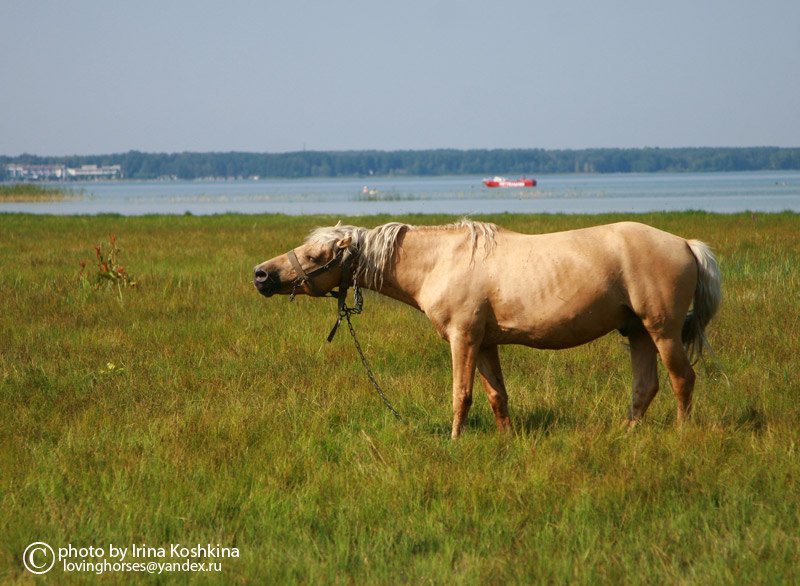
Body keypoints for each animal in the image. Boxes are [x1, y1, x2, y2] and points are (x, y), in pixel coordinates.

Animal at [253, 217, 720, 436]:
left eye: (316, 256)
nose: (261, 275)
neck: (440, 261)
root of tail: (685, 244)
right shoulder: (486, 343)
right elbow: (498, 396)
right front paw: (507, 441)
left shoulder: (463, 339)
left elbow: (461, 396)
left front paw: (455, 442)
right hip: (637, 333)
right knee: (645, 388)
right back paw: (625, 435)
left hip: (662, 332)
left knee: (682, 380)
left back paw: (681, 433)